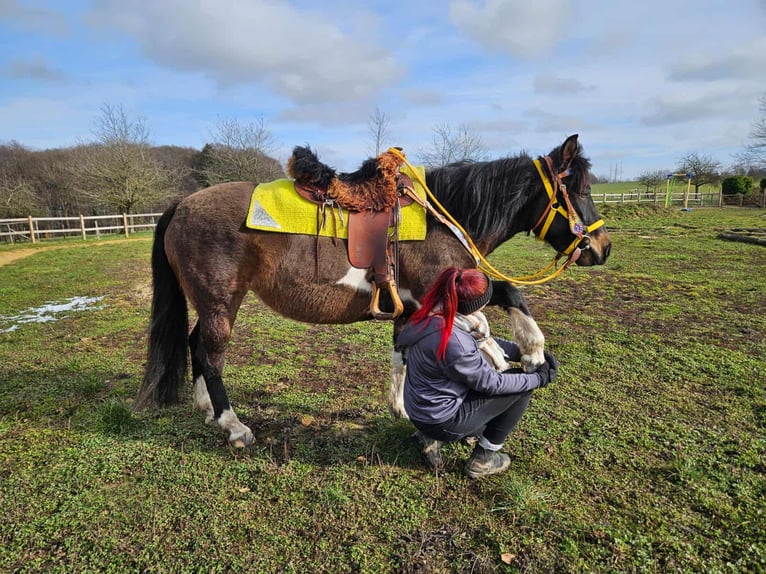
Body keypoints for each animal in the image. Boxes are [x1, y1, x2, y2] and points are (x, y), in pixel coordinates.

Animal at [136, 134, 611, 447]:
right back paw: (233, 425)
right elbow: (508, 296)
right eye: (583, 190)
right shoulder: (448, 288)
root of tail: (182, 204)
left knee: (197, 345)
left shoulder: (414, 305)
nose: (603, 248)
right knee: (212, 357)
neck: (444, 217)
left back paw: (205, 407)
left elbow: (404, 353)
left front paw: (400, 407)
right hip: (221, 303)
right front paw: (530, 351)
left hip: (212, 304)